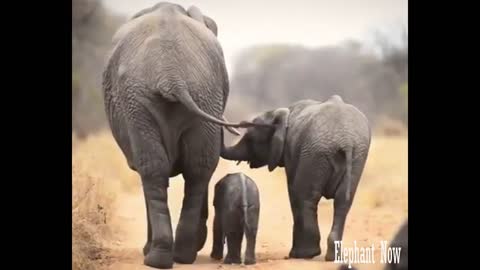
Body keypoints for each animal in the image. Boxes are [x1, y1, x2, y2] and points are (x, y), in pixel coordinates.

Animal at [102, 2, 249, 268]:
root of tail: (172, 76)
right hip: (199, 93)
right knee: (197, 168)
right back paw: (179, 255)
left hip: (143, 103)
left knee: (155, 169)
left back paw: (158, 257)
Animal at [221, 95, 372, 262]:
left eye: (250, 138)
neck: (282, 112)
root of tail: (346, 141)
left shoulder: (291, 152)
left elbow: (293, 191)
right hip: (356, 156)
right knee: (342, 201)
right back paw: (331, 257)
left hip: (316, 153)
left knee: (305, 197)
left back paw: (304, 254)